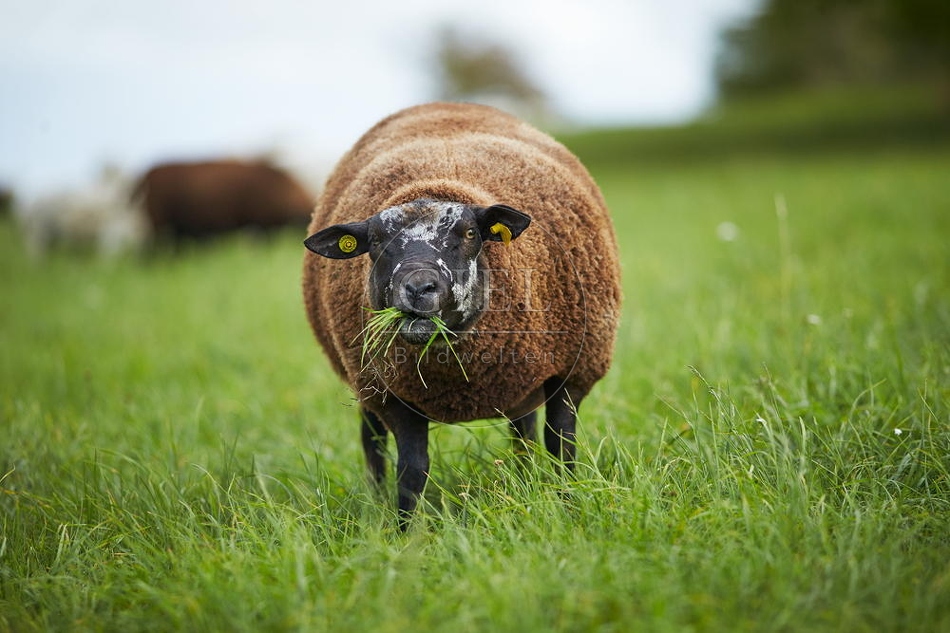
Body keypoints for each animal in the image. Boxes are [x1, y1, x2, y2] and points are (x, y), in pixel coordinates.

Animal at [302, 102, 621, 522]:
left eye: (470, 233)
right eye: (375, 242)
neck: (461, 380)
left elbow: (561, 448)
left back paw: (525, 479)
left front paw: (569, 505)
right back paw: (375, 500)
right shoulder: (393, 394)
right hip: (365, 380)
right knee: (372, 440)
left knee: (523, 432)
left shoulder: (571, 372)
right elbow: (412, 469)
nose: (418, 288)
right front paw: (404, 530)